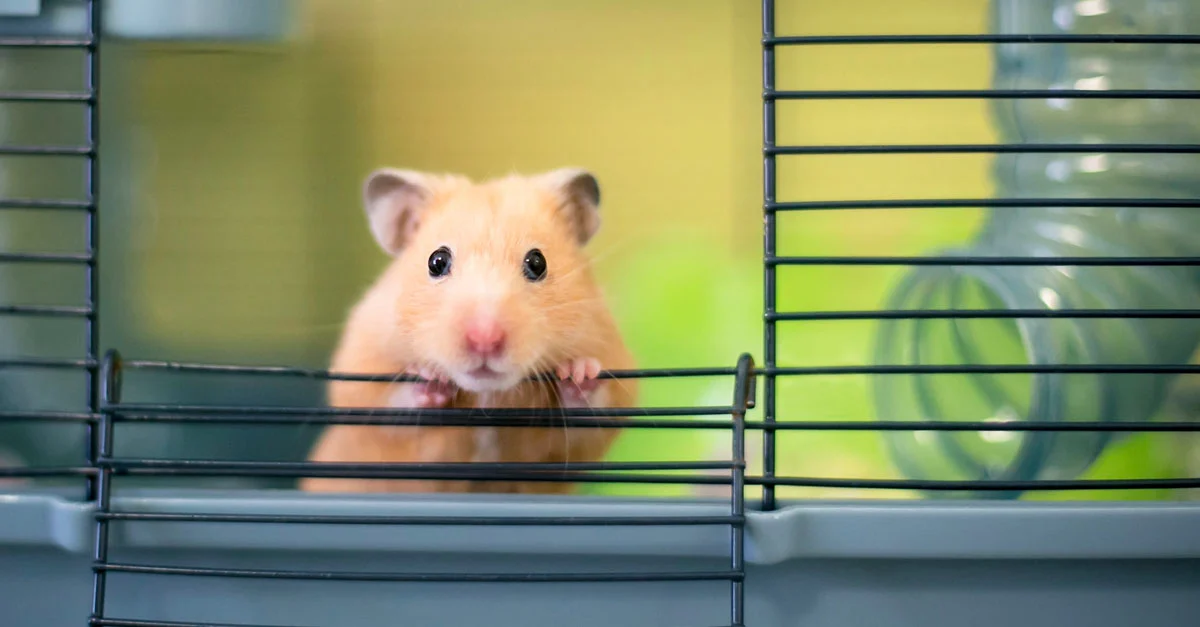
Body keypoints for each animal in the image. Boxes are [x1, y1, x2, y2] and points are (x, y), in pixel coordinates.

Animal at [300, 167, 638, 494]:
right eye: (436, 261)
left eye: (537, 262)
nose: (485, 341)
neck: (485, 394)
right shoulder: (362, 370)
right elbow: (388, 403)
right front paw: (430, 378)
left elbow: (592, 409)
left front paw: (578, 372)